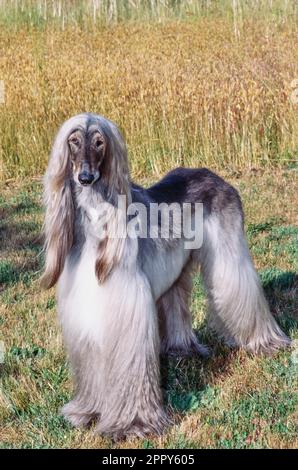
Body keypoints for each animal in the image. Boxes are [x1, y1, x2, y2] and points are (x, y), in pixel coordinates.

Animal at [40, 112, 290, 438]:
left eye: (99, 142)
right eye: (73, 141)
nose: (85, 177)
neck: (97, 221)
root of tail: (213, 173)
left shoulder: (129, 306)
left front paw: (132, 424)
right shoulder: (87, 306)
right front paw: (87, 411)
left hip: (229, 256)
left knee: (242, 288)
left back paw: (266, 342)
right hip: (177, 268)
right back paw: (182, 348)